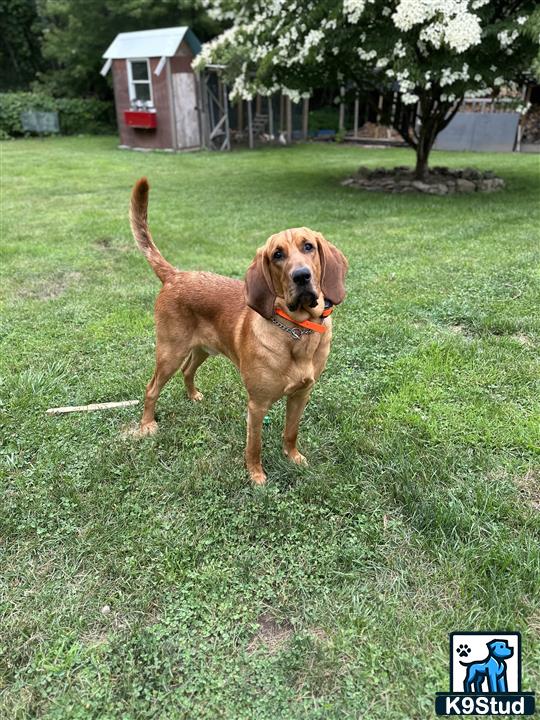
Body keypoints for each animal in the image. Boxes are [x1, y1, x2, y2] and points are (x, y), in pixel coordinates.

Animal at [132, 178, 350, 486]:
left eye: (308, 247)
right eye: (277, 255)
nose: (301, 276)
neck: (297, 331)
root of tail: (175, 275)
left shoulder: (301, 395)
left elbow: (291, 432)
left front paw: (293, 458)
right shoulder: (257, 404)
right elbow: (254, 445)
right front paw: (256, 475)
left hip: (201, 349)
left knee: (188, 370)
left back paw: (193, 396)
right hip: (170, 352)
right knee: (151, 388)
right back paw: (147, 425)